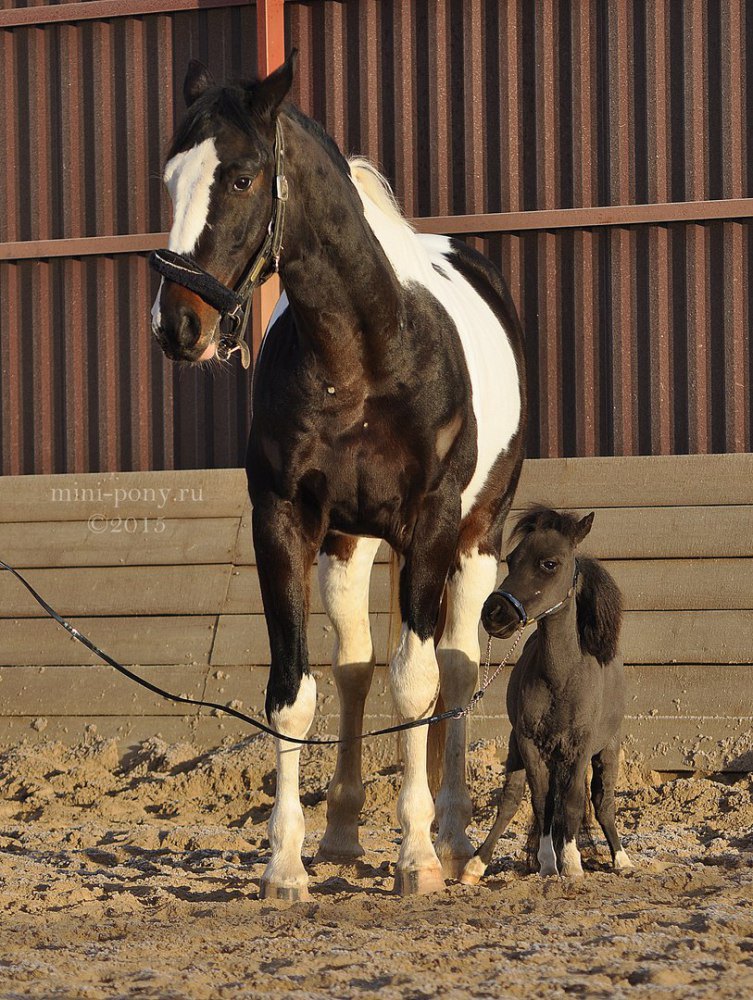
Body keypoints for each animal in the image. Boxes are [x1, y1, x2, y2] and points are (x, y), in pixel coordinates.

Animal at [147, 52, 524, 900]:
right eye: (170, 180)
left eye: (242, 178)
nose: (176, 326)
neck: (364, 356)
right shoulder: (284, 522)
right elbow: (296, 692)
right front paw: (285, 864)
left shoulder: (431, 525)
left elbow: (417, 681)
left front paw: (417, 856)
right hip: (350, 549)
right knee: (355, 669)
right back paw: (345, 833)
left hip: (474, 538)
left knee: (454, 668)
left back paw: (454, 836)